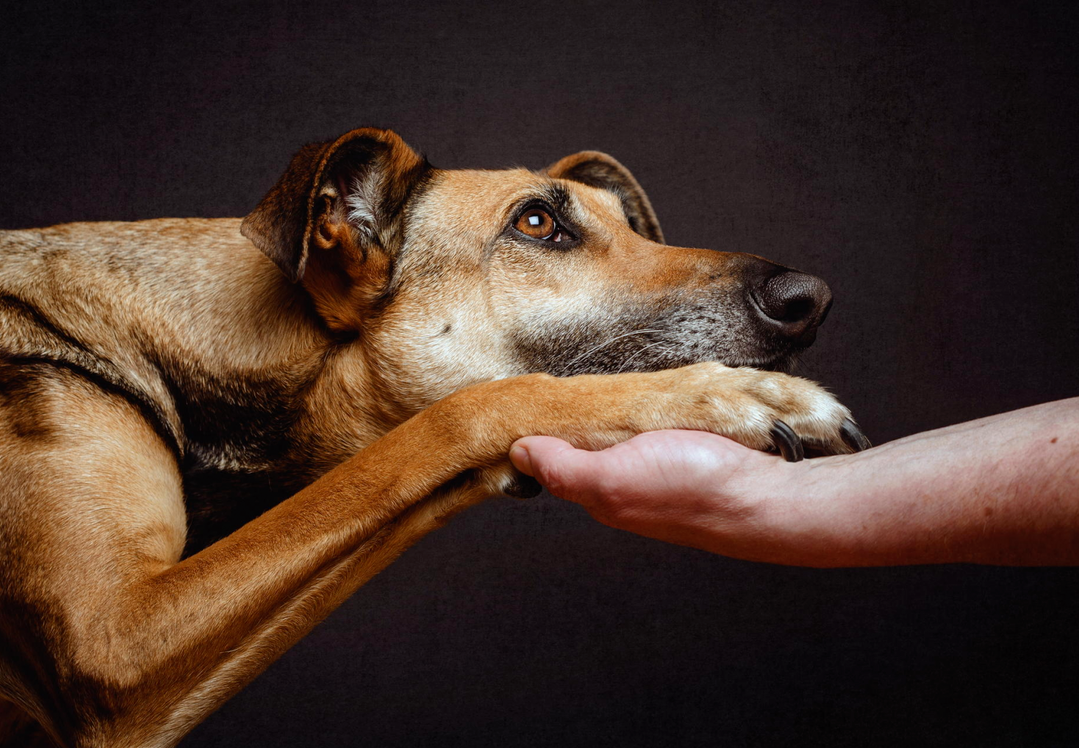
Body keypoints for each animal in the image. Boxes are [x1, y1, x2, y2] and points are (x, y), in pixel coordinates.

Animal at [0, 128, 863, 746]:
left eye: (630, 225)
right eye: (536, 222)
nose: (810, 299)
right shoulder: (114, 646)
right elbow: (462, 413)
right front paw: (721, 394)